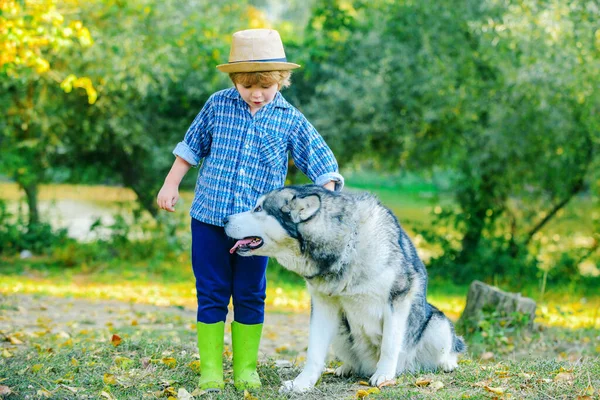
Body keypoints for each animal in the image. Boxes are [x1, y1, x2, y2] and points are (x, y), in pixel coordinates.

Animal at [224, 186, 464, 392]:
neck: (349, 244)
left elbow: (389, 345)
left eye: (258, 209)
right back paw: (347, 367)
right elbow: (314, 353)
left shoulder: (398, 298)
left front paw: (385, 375)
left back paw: (446, 364)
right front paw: (302, 384)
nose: (225, 219)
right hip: (340, 330)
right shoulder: (322, 305)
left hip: (438, 323)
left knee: (447, 348)